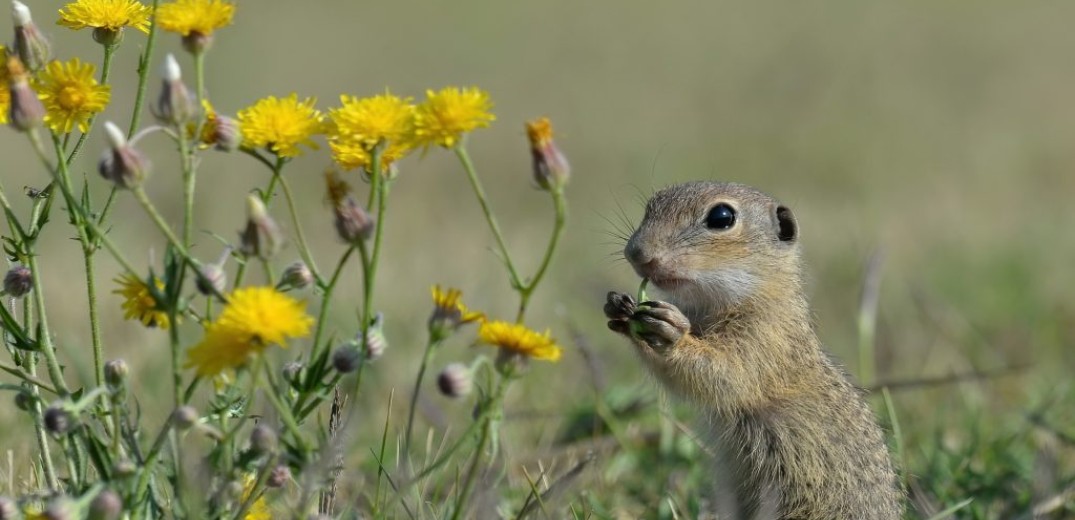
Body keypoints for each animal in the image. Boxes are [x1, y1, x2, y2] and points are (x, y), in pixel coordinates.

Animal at [610, 181, 903, 520]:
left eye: (722, 217)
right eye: (651, 205)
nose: (636, 252)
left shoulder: (764, 338)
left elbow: (726, 373)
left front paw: (671, 332)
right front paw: (619, 308)